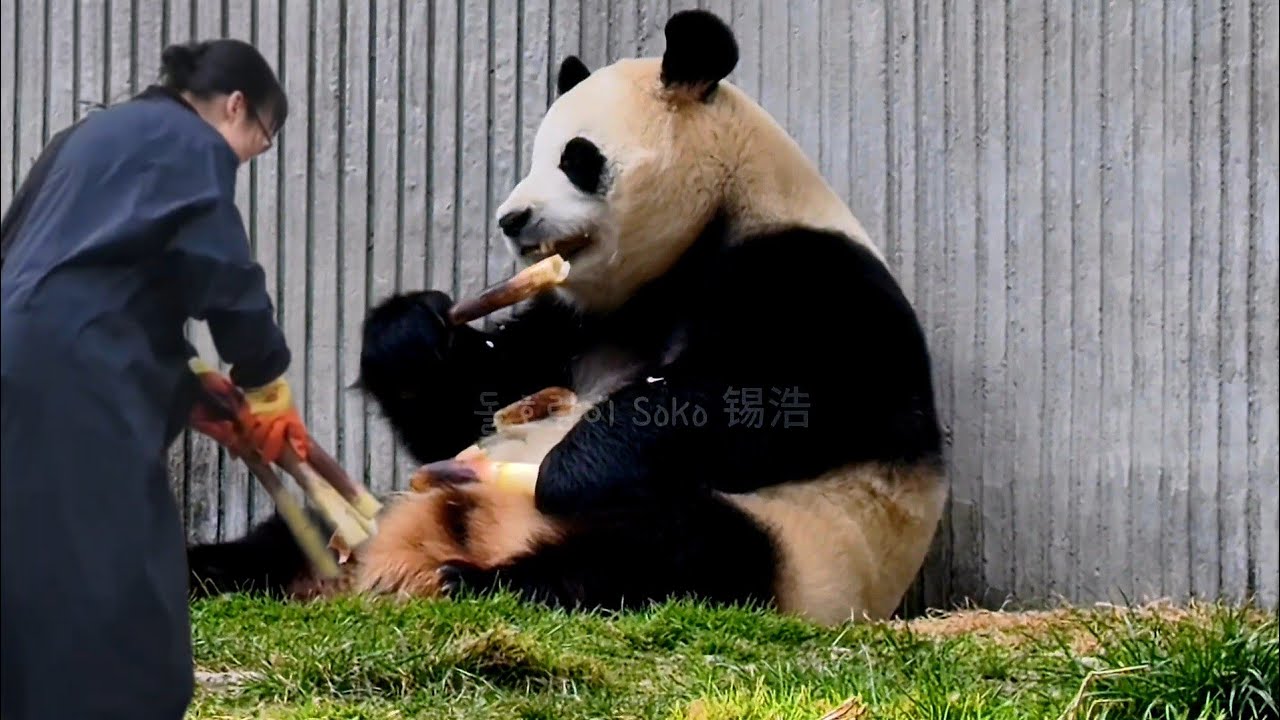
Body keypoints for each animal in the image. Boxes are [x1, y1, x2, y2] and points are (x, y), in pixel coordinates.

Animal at [186, 8, 948, 626]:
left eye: (577, 158)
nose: (512, 219)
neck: (708, 225)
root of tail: (419, 545)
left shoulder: (813, 274)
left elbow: (786, 395)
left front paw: (567, 466)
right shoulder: (580, 317)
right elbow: (473, 400)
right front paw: (410, 334)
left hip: (797, 541)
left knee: (672, 548)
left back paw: (484, 580)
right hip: (383, 505)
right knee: (300, 529)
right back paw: (213, 565)